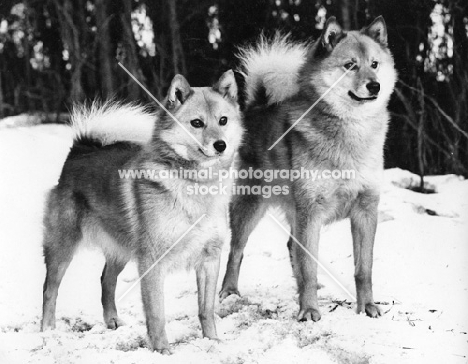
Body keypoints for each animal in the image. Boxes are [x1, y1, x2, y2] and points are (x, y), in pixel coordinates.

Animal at [41, 69, 245, 354]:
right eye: (197, 123)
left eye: (223, 120)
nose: (221, 145)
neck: (195, 184)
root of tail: (79, 151)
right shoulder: (152, 262)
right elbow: (157, 314)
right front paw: (162, 351)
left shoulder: (209, 259)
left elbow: (206, 309)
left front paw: (212, 340)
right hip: (62, 248)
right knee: (50, 290)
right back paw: (47, 330)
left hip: (121, 249)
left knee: (106, 281)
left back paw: (112, 321)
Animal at [221, 16, 396, 322]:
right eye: (350, 65)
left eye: (374, 64)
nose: (374, 86)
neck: (350, 133)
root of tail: (257, 108)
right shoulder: (311, 211)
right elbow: (308, 266)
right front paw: (309, 310)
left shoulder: (365, 210)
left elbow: (363, 269)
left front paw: (367, 307)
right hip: (251, 205)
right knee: (236, 250)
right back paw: (229, 292)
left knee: (291, 247)